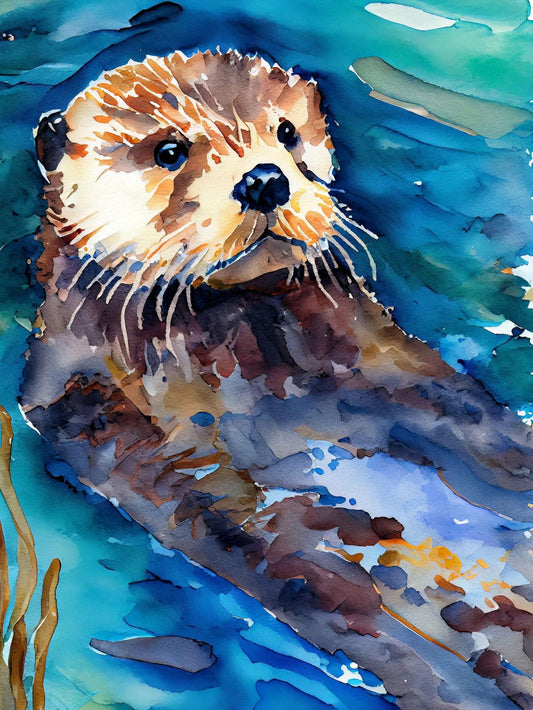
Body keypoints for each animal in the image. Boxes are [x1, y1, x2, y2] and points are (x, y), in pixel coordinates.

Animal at [21, 50, 533, 709]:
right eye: (168, 150)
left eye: (287, 132)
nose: (264, 178)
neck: (243, 355)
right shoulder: (146, 440)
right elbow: (294, 560)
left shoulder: (377, 356)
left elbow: (469, 415)